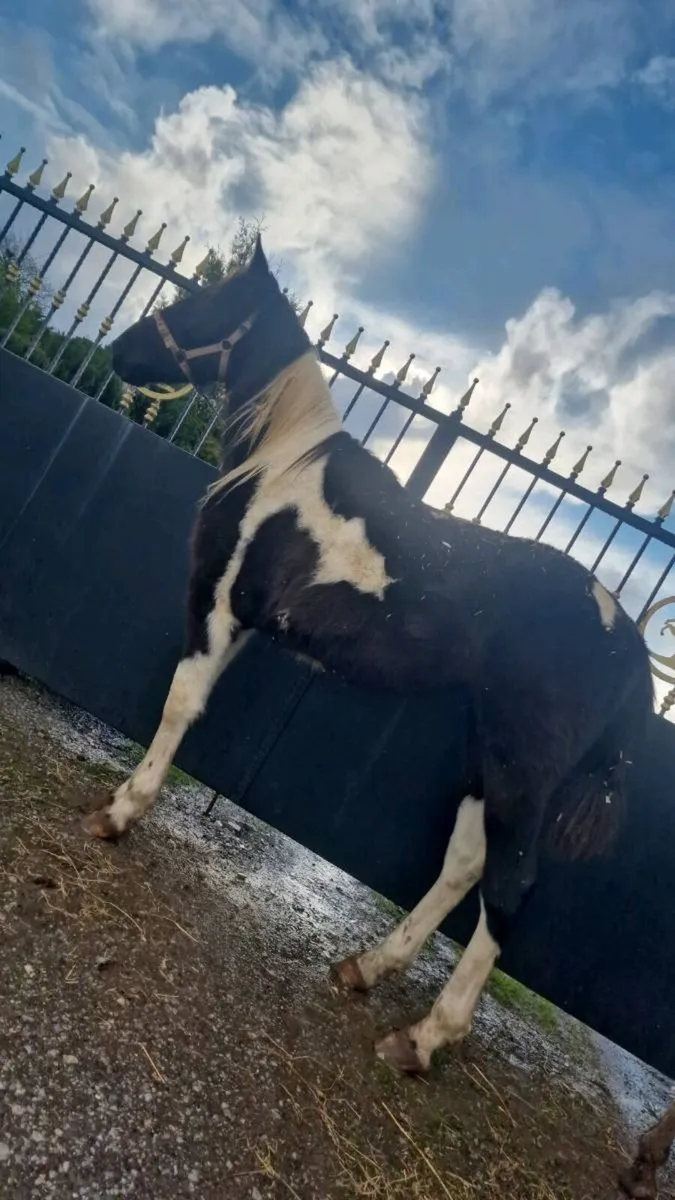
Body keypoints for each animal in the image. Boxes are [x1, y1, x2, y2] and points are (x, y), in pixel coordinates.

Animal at [85, 235, 653, 1080]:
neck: (281, 467)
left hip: (521, 770)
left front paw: (120, 812)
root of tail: (624, 636)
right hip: (486, 753)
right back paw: (366, 967)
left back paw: (422, 1038)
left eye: (206, 302)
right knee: (464, 862)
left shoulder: (216, 604)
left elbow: (179, 705)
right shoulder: (241, 623)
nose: (120, 351)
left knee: (508, 888)